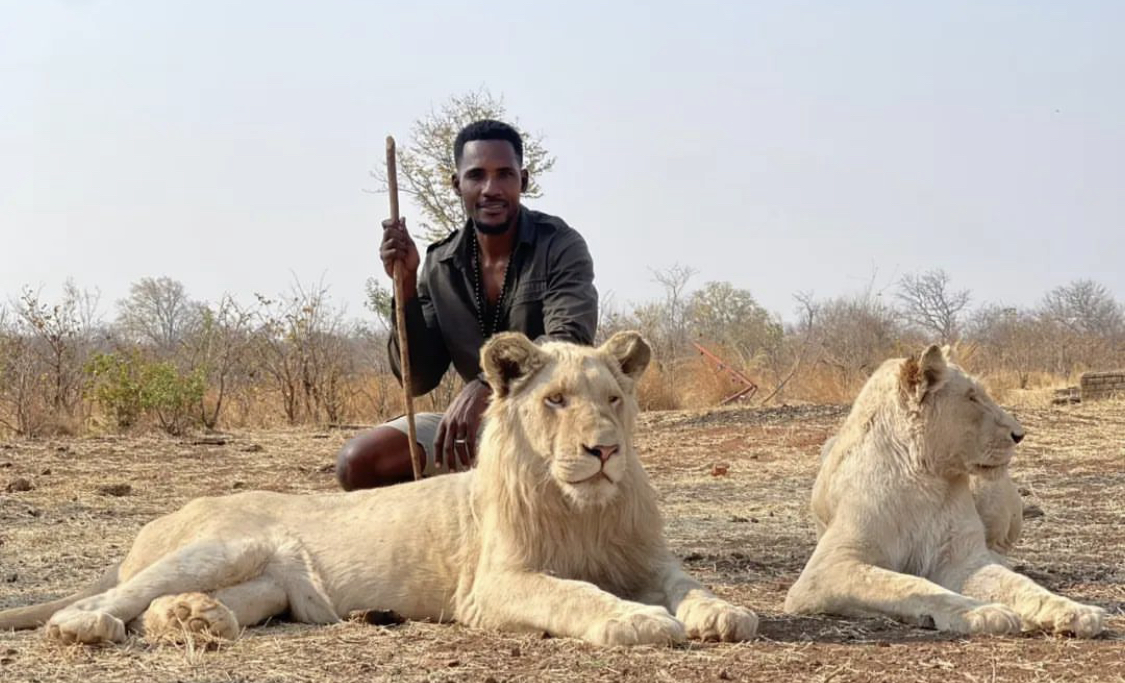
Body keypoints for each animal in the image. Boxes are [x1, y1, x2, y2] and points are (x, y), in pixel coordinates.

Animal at [0, 333, 760, 648]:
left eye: (613, 399)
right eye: (556, 400)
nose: (603, 449)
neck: (584, 510)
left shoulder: (646, 560)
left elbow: (690, 585)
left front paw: (726, 613)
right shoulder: (493, 586)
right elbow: (571, 592)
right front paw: (637, 620)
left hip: (270, 587)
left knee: (174, 606)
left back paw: (196, 620)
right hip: (223, 545)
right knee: (118, 597)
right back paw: (87, 626)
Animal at [787, 344, 1102, 639]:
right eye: (972, 397)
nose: (1019, 434)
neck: (925, 478)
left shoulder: (962, 559)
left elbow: (1021, 586)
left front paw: (1076, 611)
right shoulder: (826, 570)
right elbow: (907, 584)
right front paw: (983, 612)